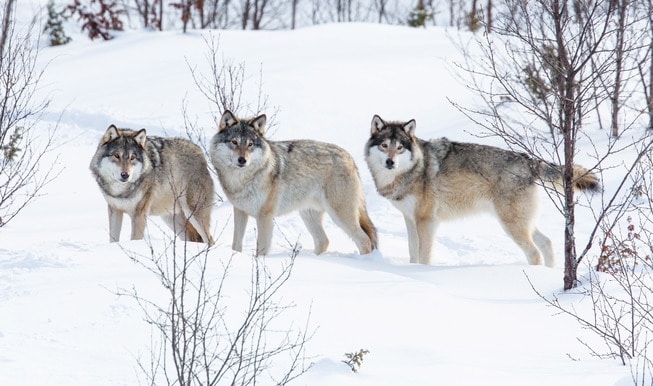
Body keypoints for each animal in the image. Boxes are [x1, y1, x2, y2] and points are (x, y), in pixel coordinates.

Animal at [206, 110, 374, 255]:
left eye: (250, 144)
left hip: (339, 215)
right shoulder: (240, 211)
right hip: (308, 215)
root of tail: (349, 157)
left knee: (365, 240)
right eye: (234, 142)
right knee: (324, 241)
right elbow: (236, 244)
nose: (242, 160)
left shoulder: (265, 217)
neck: (241, 180)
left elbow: (261, 250)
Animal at [364, 113, 600, 266]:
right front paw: (411, 271)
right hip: (523, 222)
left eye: (399, 147)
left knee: (534, 253)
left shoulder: (426, 221)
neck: (414, 170)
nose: (390, 162)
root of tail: (529, 161)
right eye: (384, 146)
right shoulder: (410, 219)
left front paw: (421, 273)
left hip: (511, 225)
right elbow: (413, 252)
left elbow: (423, 256)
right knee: (548, 243)